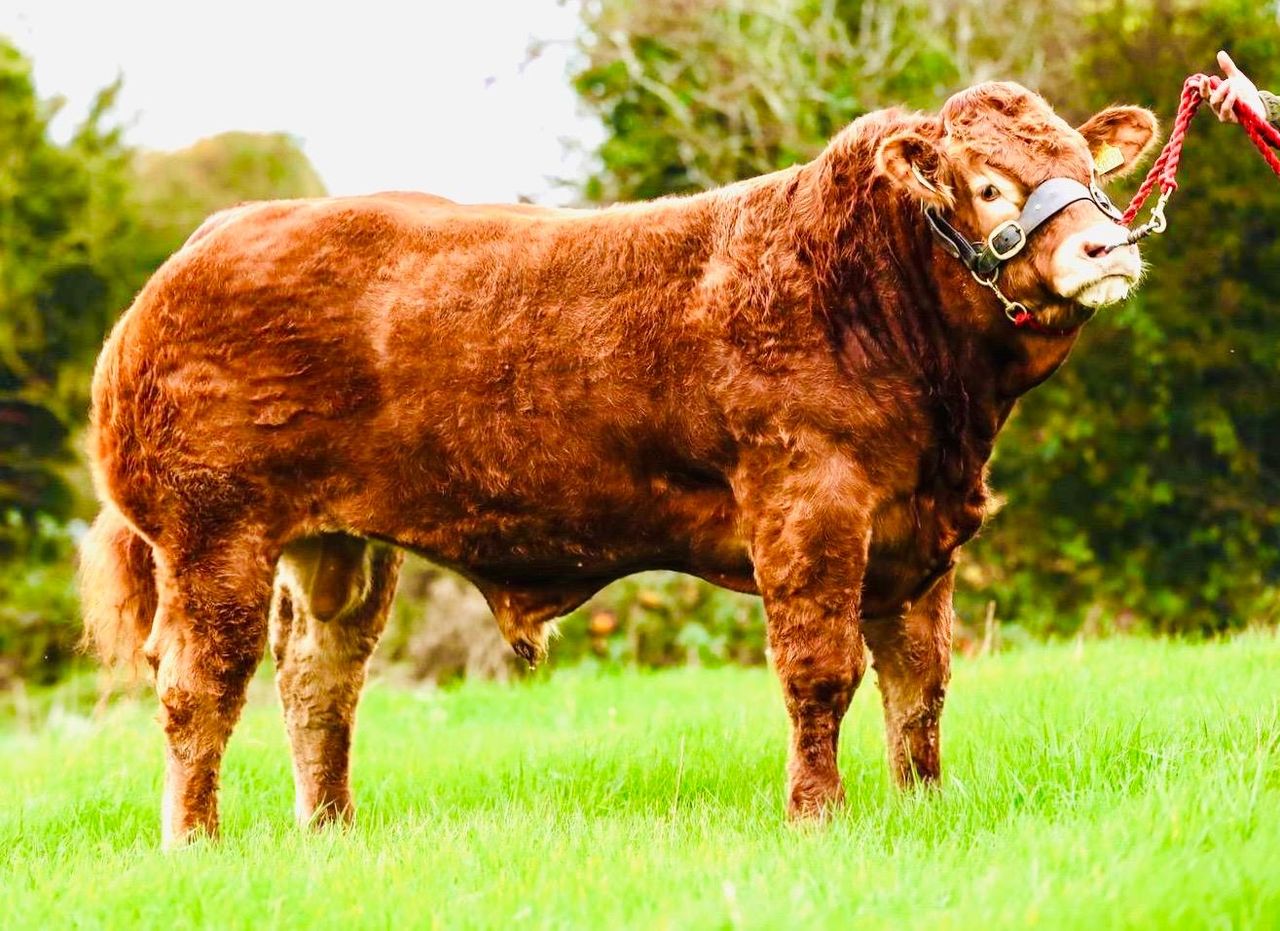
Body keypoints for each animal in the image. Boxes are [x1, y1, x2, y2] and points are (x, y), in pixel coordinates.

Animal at [80, 81, 1157, 847]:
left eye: (1085, 167)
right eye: (988, 185)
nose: (1106, 246)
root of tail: (206, 242)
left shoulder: (918, 534)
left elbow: (919, 682)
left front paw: (922, 805)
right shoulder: (808, 507)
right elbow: (821, 670)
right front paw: (818, 812)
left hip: (337, 544)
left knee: (318, 677)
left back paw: (329, 828)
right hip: (213, 533)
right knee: (200, 683)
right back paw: (196, 839)